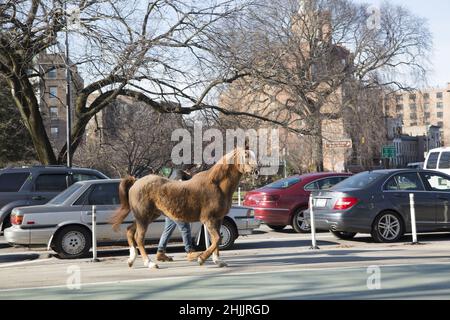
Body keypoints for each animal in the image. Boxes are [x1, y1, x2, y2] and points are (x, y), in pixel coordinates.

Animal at [111, 149, 258, 268]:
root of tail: (136, 182)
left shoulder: (218, 219)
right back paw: (150, 263)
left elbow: (217, 239)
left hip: (148, 216)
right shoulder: (208, 219)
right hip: (143, 217)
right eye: (246, 155)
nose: (256, 171)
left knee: (130, 231)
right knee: (139, 238)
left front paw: (218, 261)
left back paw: (131, 260)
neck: (217, 185)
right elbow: (216, 239)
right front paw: (201, 258)